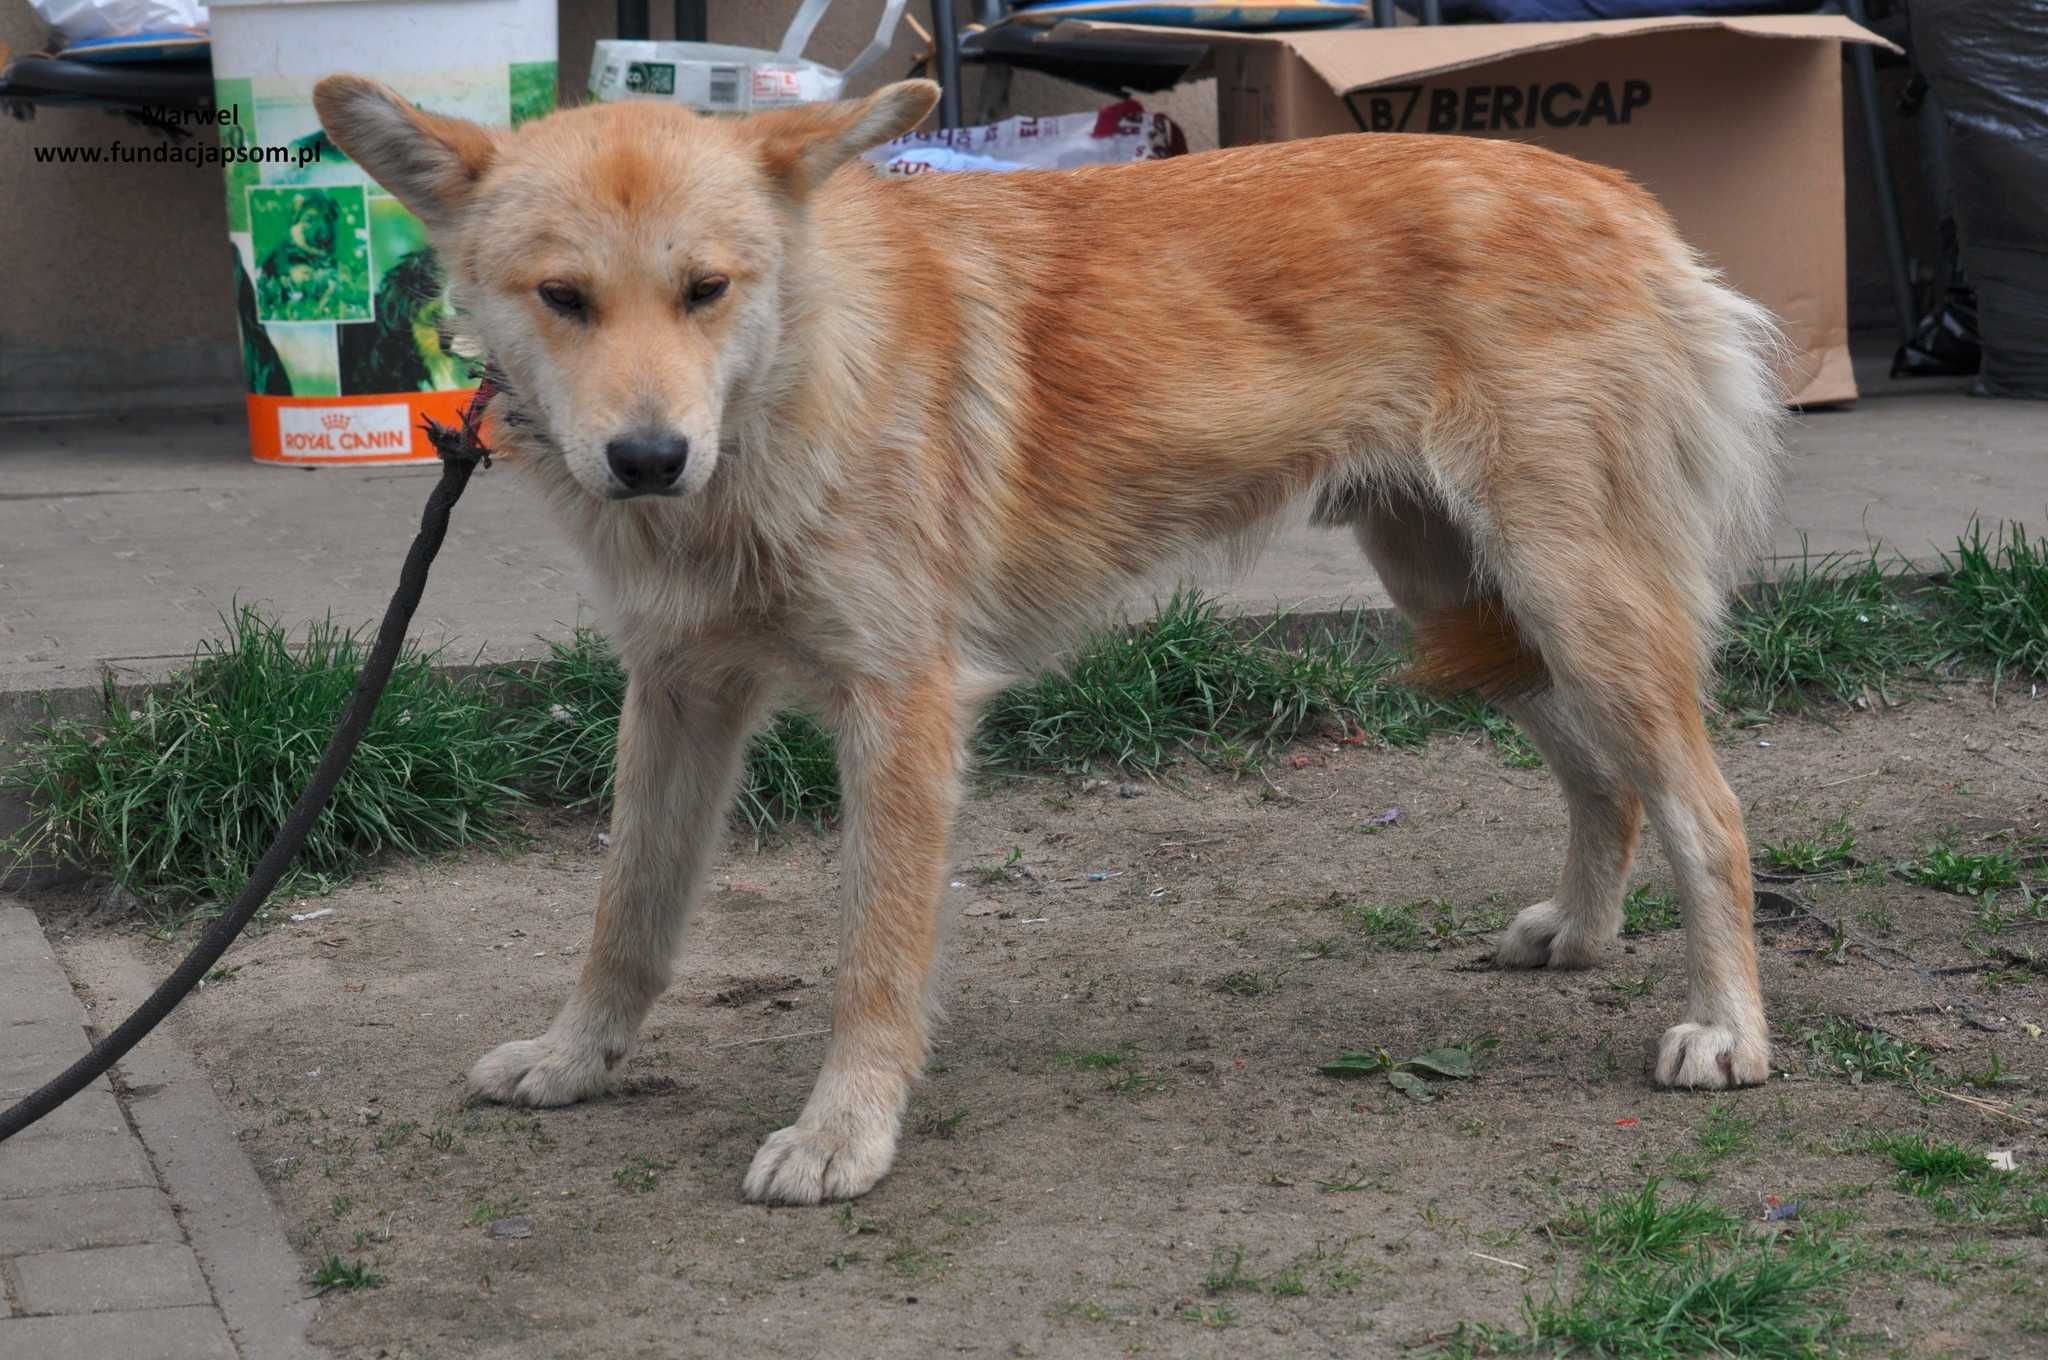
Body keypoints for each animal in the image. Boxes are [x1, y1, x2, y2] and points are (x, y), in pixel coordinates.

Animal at [311, 76, 1785, 1204]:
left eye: (706, 290)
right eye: (561, 298)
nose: (647, 460)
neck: (793, 382)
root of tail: (1619, 196)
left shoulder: (899, 710)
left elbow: (874, 958)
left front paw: (847, 1132)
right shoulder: (675, 696)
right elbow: (628, 912)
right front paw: (574, 1062)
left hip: (1571, 600)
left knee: (1706, 807)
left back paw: (1727, 1029)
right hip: (1471, 609)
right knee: (1607, 781)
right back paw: (1582, 932)